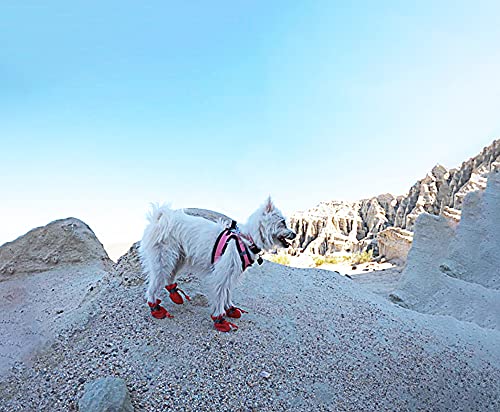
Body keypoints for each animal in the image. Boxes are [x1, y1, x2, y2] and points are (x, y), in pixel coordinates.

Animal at [139, 196, 294, 332]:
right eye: (282, 222)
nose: (294, 234)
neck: (247, 239)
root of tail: (158, 218)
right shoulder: (221, 276)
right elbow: (220, 296)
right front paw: (220, 319)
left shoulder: (231, 275)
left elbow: (228, 293)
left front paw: (230, 308)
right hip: (163, 261)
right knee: (153, 285)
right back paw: (155, 308)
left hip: (177, 259)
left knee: (169, 277)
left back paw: (174, 295)